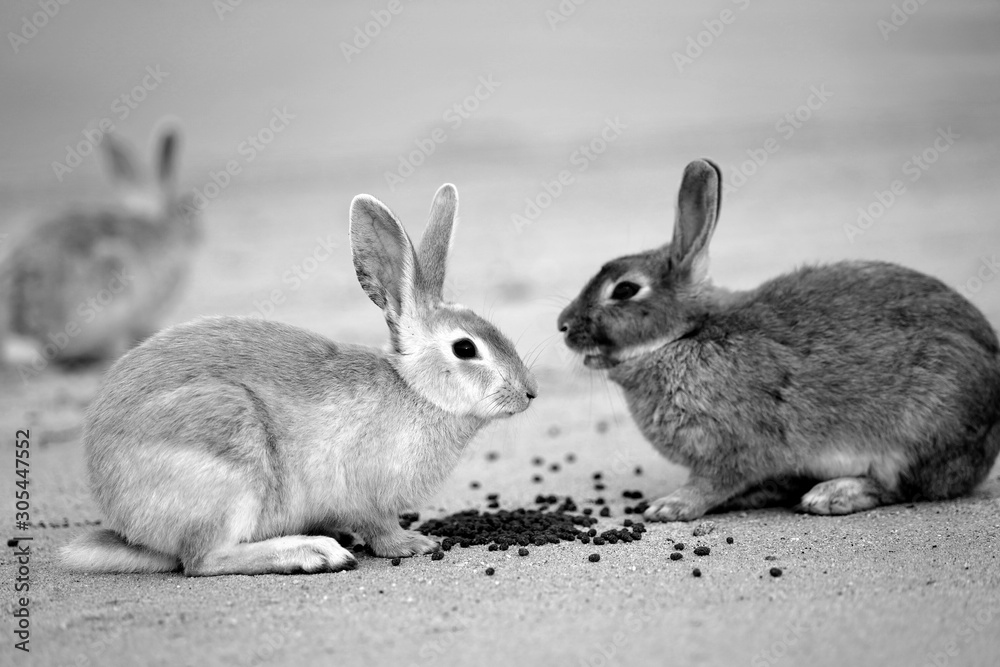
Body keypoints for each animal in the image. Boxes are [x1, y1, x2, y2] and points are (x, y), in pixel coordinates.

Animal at [60, 184, 537, 576]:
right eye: (465, 349)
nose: (529, 393)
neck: (415, 389)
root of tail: (120, 509)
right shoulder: (365, 492)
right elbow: (380, 529)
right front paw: (413, 543)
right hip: (228, 458)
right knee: (203, 559)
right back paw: (313, 552)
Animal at [557, 159, 1000, 521]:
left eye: (625, 289)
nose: (562, 325)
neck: (687, 334)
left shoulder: (731, 448)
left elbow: (712, 483)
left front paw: (670, 506)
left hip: (916, 433)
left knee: (899, 486)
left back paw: (832, 495)